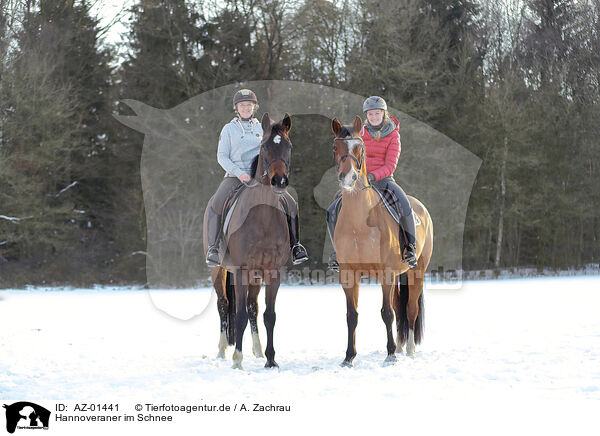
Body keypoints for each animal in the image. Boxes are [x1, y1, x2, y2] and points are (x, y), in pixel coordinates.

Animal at [203, 113, 294, 372]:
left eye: (288, 147)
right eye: (264, 147)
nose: (279, 181)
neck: (262, 216)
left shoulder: (273, 272)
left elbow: (269, 315)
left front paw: (271, 359)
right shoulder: (241, 270)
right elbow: (239, 314)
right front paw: (237, 360)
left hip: (255, 275)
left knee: (253, 307)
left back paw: (257, 350)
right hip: (218, 270)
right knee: (224, 305)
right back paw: (223, 350)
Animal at [330, 115, 434, 364]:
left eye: (360, 148)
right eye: (335, 148)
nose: (348, 178)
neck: (359, 220)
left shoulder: (386, 273)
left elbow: (386, 313)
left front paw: (390, 355)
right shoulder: (349, 275)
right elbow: (352, 315)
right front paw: (349, 357)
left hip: (417, 271)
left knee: (410, 309)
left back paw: (408, 350)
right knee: (400, 307)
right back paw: (401, 346)